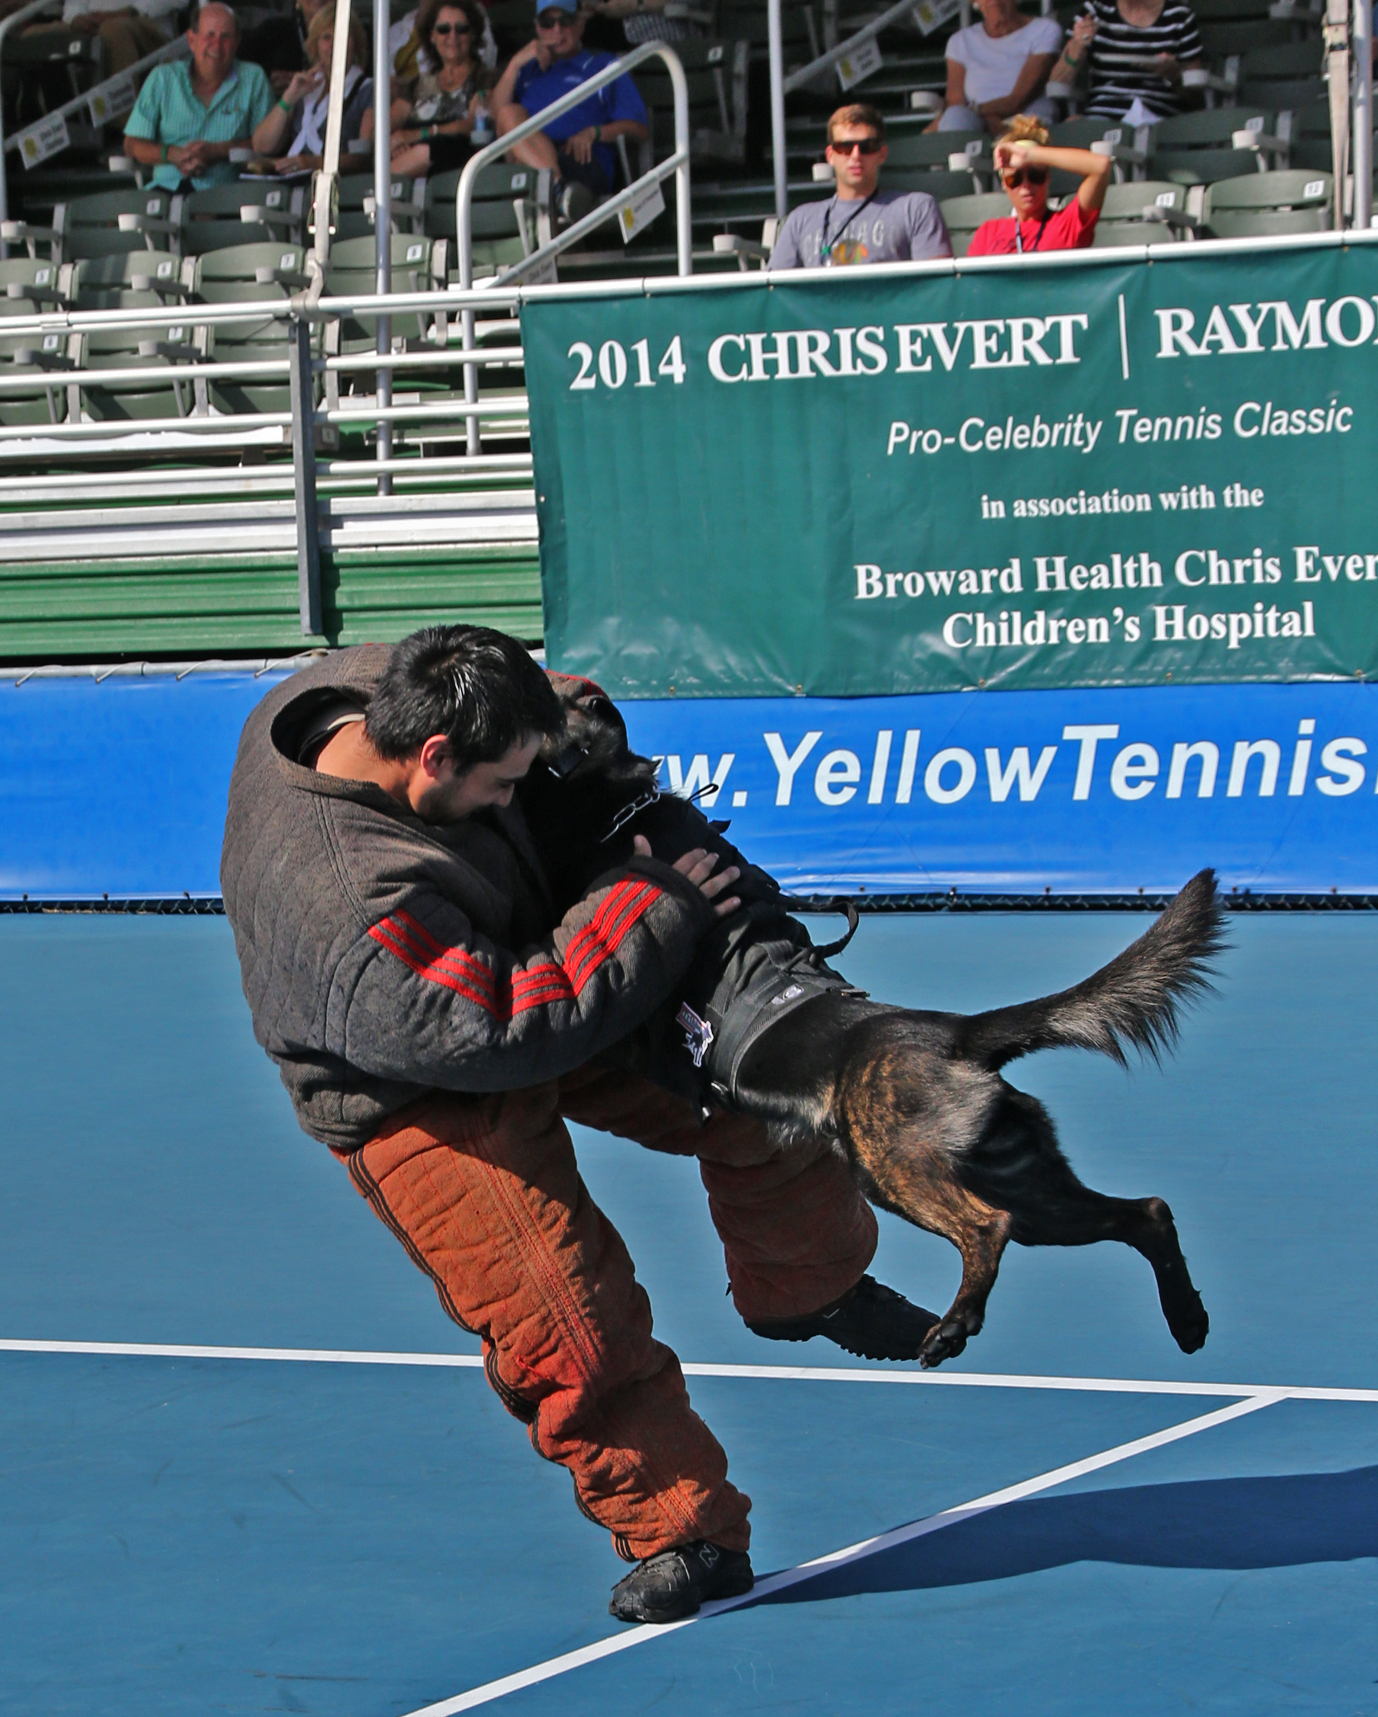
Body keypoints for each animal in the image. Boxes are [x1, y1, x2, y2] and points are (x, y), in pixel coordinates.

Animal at [518, 676, 1214, 1359]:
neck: (620, 803)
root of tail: (959, 1033)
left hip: (896, 1166)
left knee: (989, 1227)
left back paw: (956, 1323)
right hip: (1026, 1185)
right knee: (1145, 1213)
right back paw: (1187, 1319)